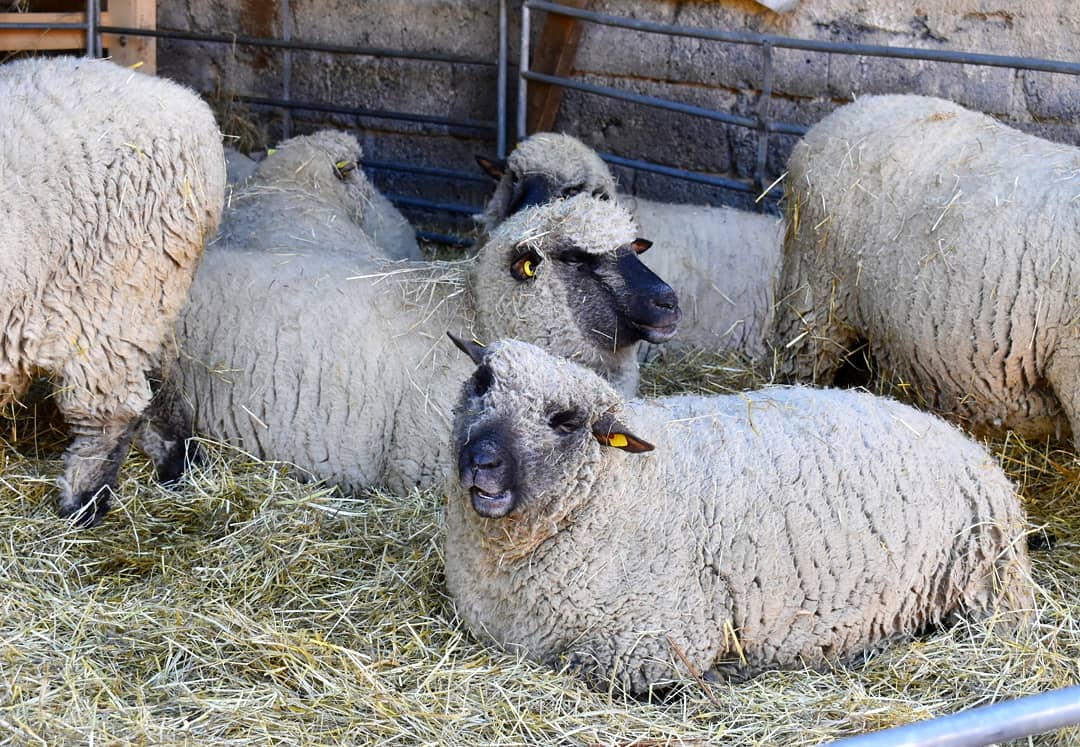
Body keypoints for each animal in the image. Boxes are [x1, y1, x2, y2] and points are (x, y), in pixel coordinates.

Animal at [0, 56, 225, 526]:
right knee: (161, 377)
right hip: (147, 298)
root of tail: (189, 107)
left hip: (108, 300)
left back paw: (82, 503)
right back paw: (178, 462)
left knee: (110, 410)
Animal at [443, 336, 1033, 694]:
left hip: (988, 587)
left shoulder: (650, 643)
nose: (480, 462)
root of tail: (966, 443)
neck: (620, 489)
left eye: (565, 422)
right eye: (481, 382)